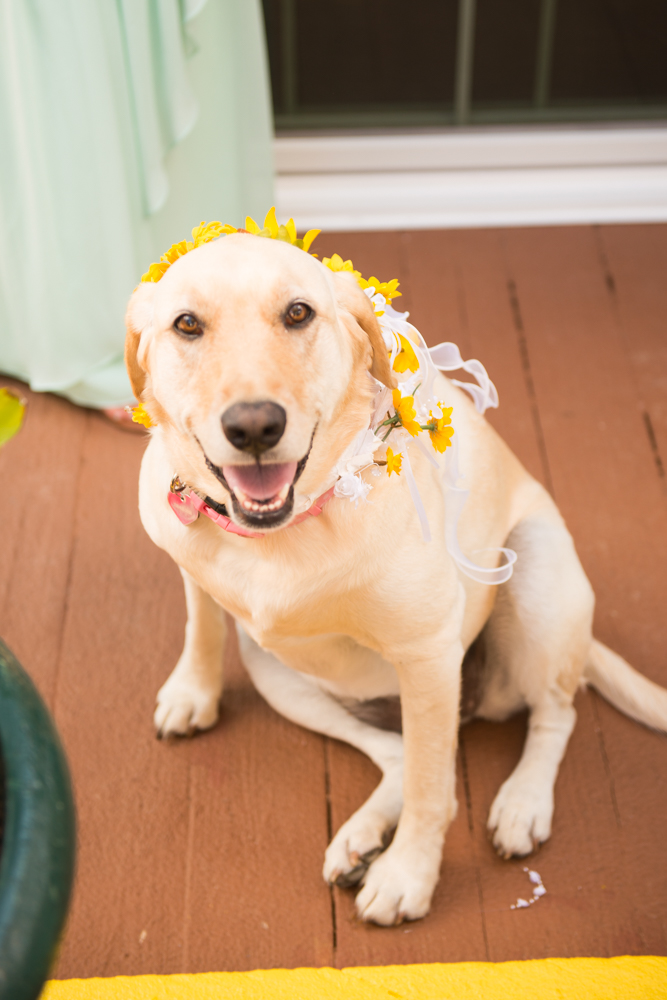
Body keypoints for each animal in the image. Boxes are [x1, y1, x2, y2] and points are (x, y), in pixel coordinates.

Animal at [125, 230, 667, 924]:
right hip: (277, 670)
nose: (253, 426)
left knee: (551, 716)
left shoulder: (429, 655)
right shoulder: (192, 563)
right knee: (397, 757)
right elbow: (203, 624)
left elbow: (434, 792)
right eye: (187, 324)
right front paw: (193, 693)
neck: (286, 529)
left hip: (536, 584)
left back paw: (522, 803)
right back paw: (360, 837)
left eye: (298, 313)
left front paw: (409, 874)